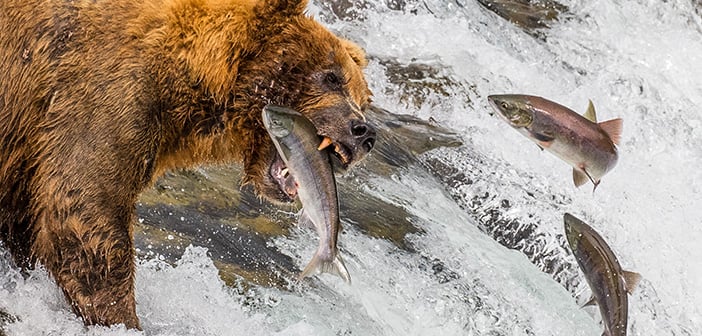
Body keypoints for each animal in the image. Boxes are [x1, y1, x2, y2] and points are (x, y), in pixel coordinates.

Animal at [0, 0, 376, 330]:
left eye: (362, 98)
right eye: (331, 77)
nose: (364, 133)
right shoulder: (103, 95)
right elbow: (85, 213)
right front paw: (123, 319)